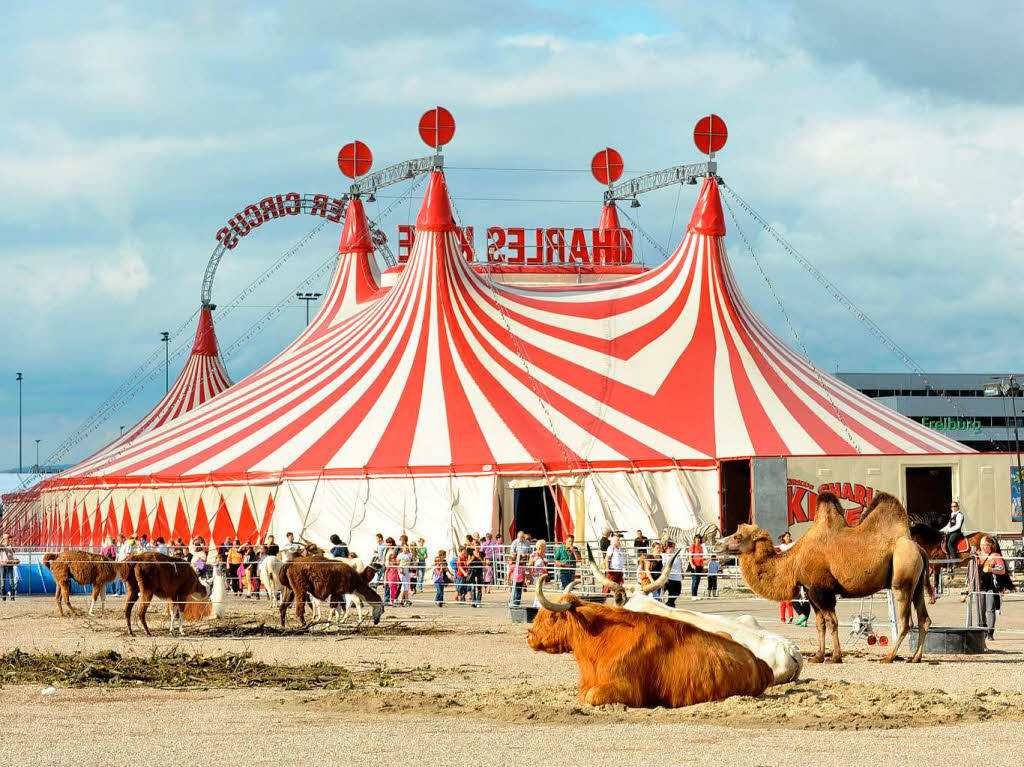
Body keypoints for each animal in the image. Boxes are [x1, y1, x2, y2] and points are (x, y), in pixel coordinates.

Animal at [716, 491, 933, 663]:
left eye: (738, 536)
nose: (717, 544)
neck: (794, 560)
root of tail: (919, 549)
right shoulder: (811, 590)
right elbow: (820, 625)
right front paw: (818, 656)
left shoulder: (822, 589)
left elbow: (832, 622)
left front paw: (835, 657)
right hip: (916, 584)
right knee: (924, 619)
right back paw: (915, 658)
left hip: (902, 577)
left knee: (906, 622)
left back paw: (888, 657)